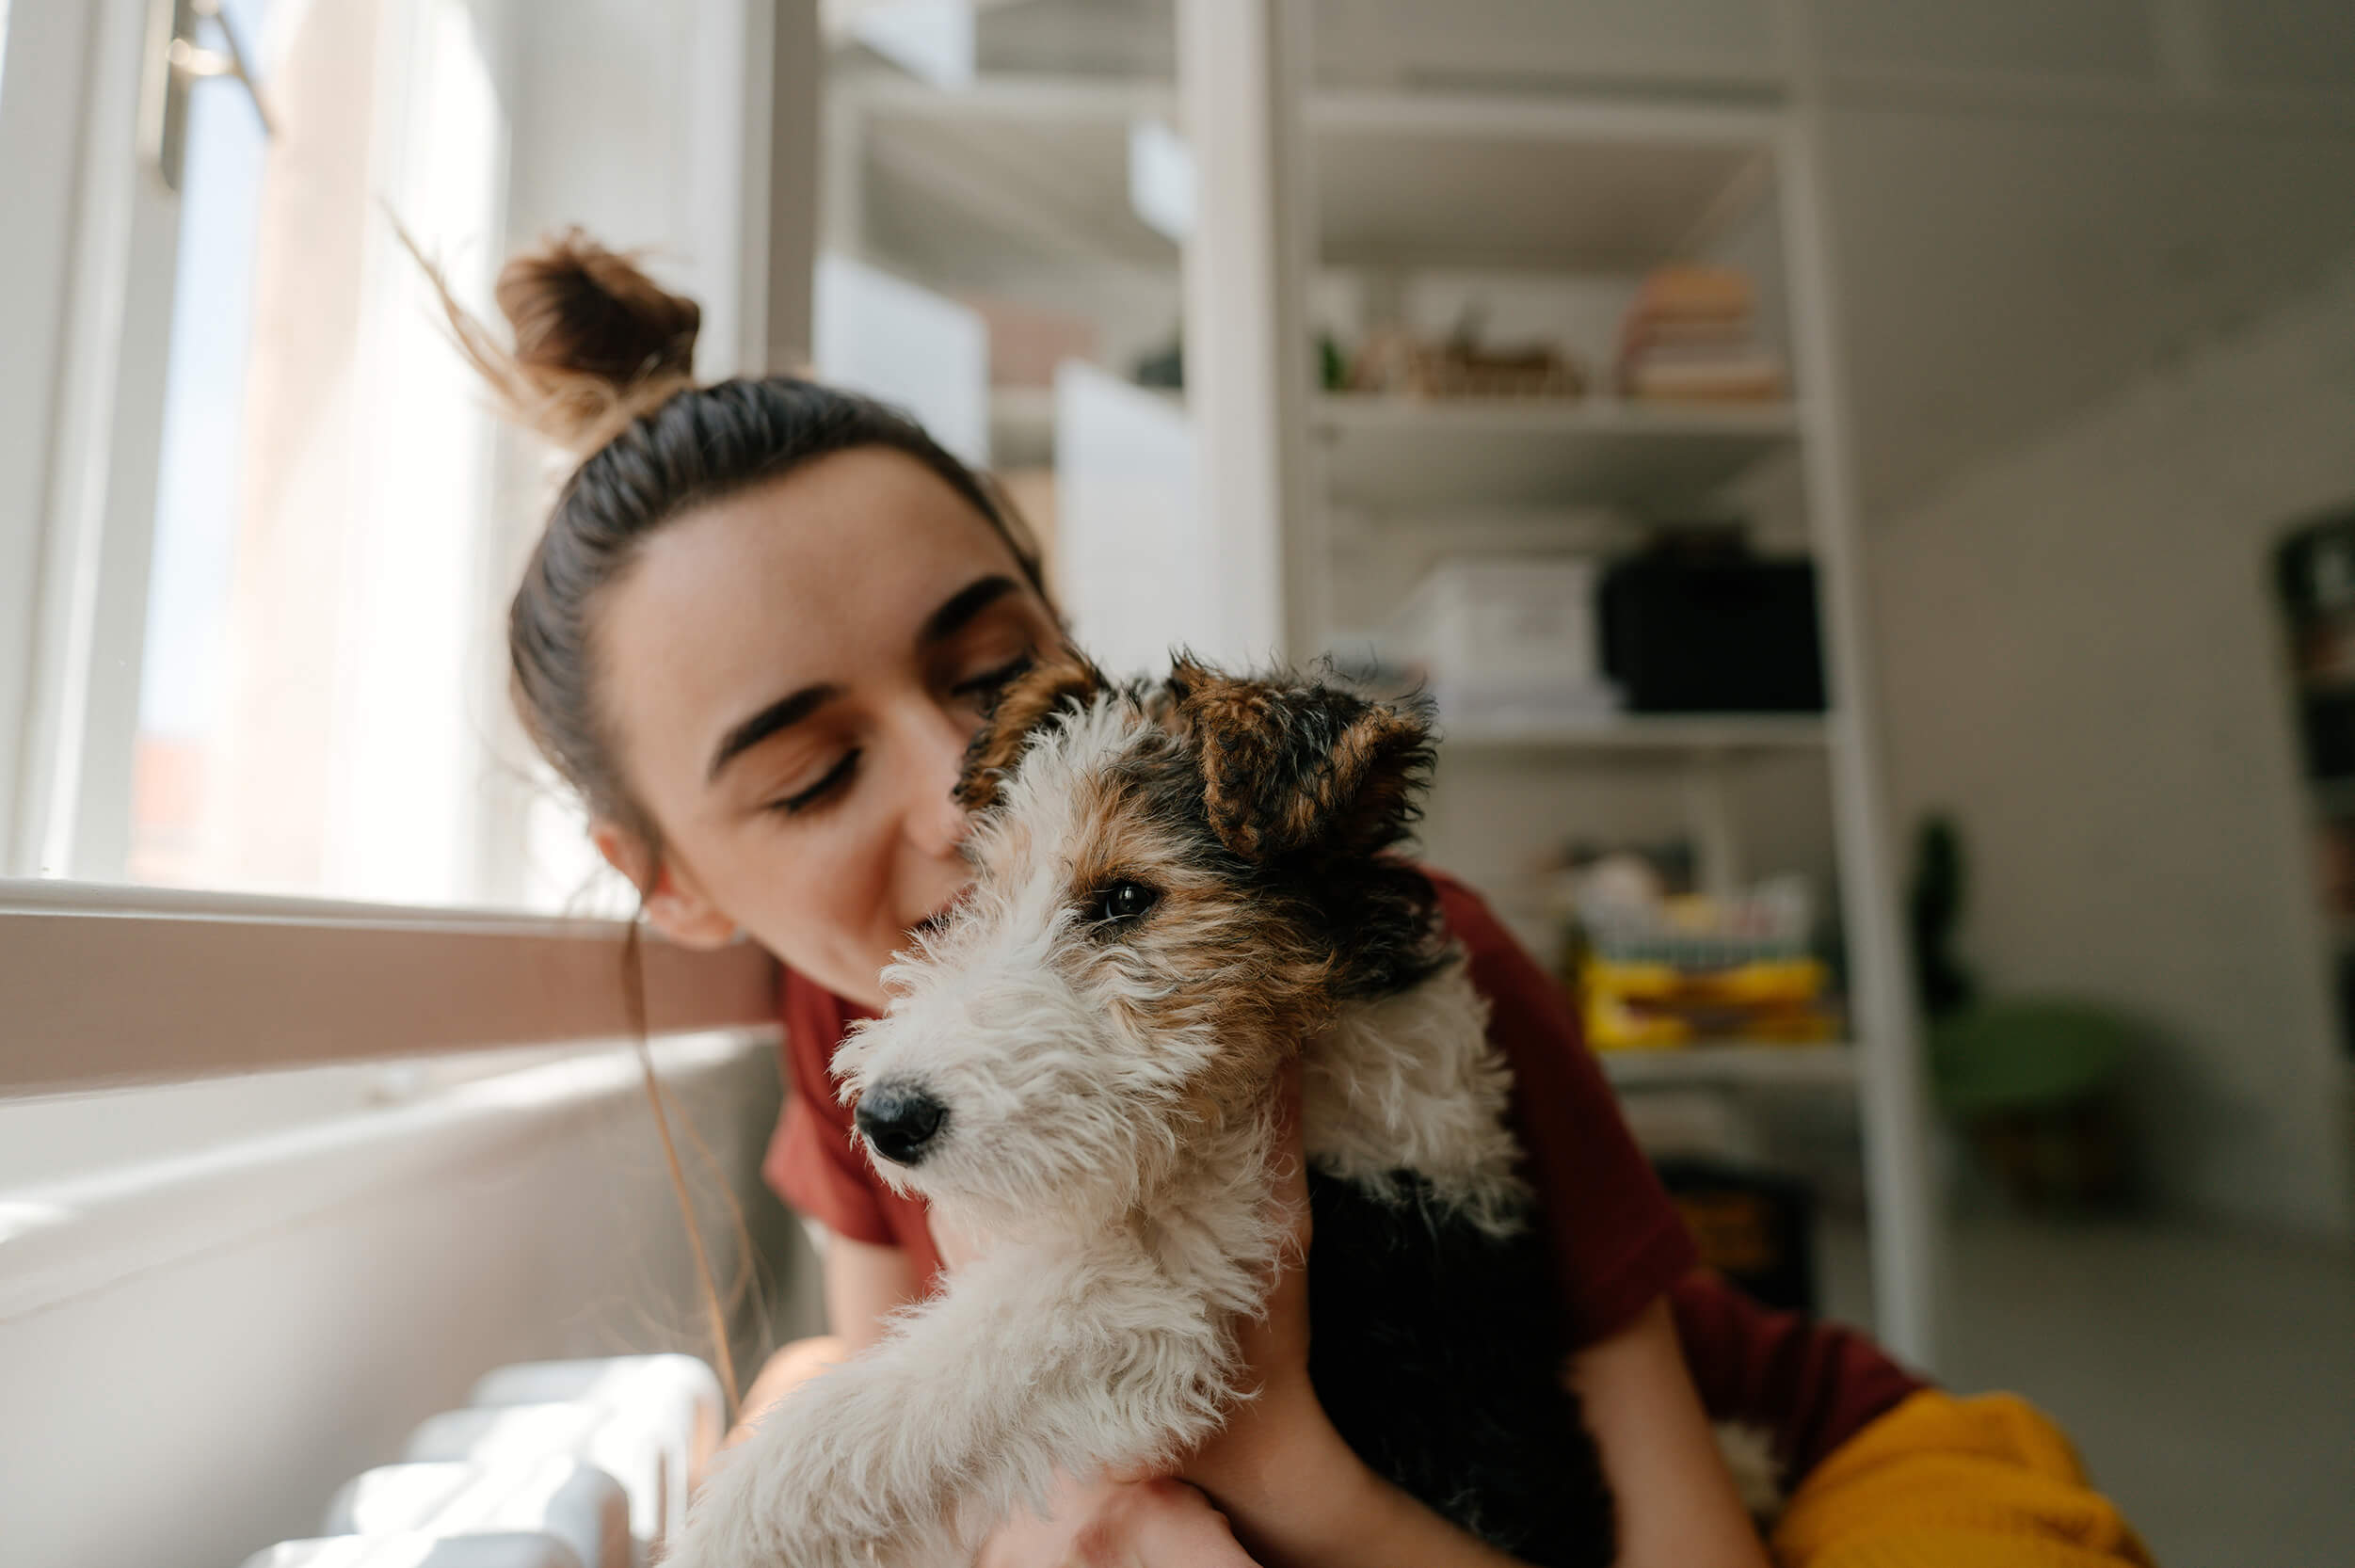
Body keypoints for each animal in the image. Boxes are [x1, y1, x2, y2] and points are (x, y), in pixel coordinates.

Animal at [673, 645, 1610, 1562]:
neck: (1312, 1046)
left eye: (1127, 898)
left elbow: (914, 1394)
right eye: (982, 898)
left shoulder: (1162, 1294)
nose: (886, 1119)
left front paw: (731, 1533)